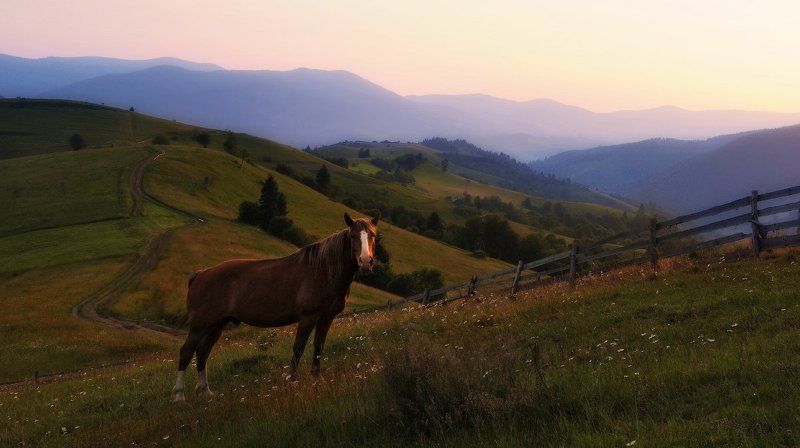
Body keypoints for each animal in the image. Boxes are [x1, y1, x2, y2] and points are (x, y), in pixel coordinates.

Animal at [171, 212, 379, 402]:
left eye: (373, 236)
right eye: (352, 235)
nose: (365, 261)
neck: (323, 271)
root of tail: (200, 274)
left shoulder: (326, 318)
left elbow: (318, 348)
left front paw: (316, 380)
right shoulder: (308, 317)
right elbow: (298, 348)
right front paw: (292, 382)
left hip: (216, 325)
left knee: (202, 352)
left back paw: (204, 391)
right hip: (199, 325)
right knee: (186, 352)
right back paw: (179, 396)